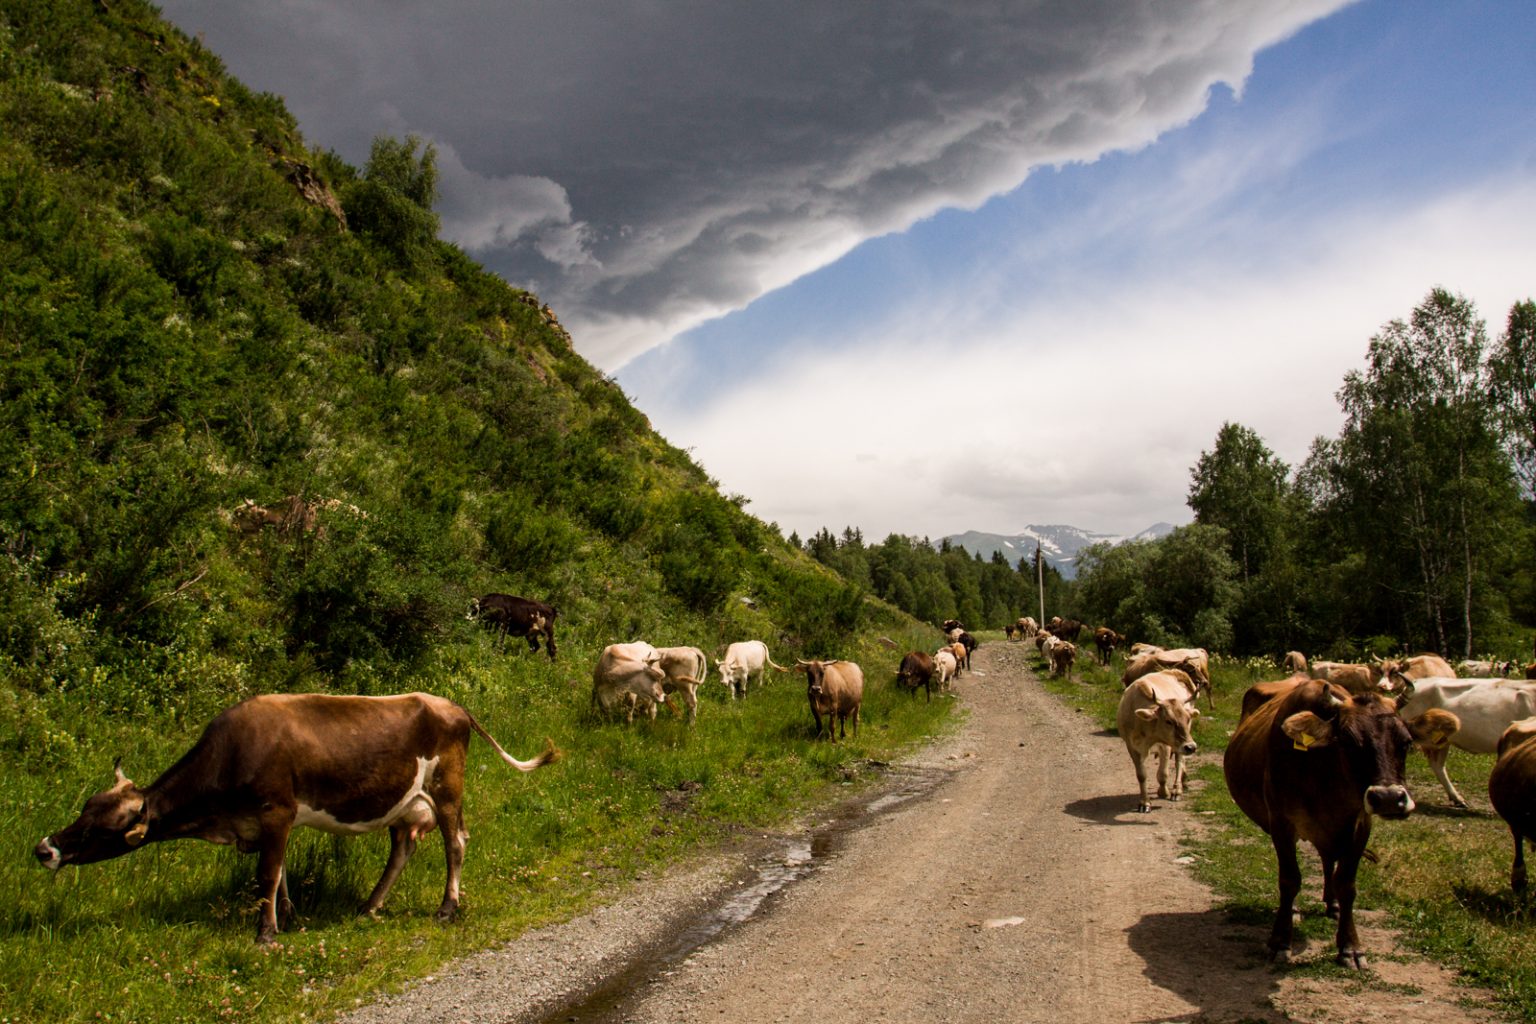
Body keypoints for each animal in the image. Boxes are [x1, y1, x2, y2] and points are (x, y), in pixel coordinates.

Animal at [33, 696, 559, 945]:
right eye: (84, 807)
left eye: (101, 828)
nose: (45, 848)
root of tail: (450, 705)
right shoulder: (268, 821)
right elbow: (280, 871)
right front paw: (286, 915)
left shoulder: (276, 810)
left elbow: (266, 873)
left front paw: (266, 933)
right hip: (403, 802)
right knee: (403, 848)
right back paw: (370, 905)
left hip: (446, 791)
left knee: (456, 842)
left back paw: (447, 907)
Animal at [1118, 672, 1198, 816]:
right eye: (1168, 721)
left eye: (1188, 719)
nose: (1191, 747)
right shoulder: (1131, 747)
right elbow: (1141, 775)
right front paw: (1144, 803)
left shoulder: (1165, 746)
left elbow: (1163, 774)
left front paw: (1163, 792)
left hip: (1179, 745)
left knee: (1179, 762)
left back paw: (1177, 790)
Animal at [1216, 681, 1456, 970]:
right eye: (1348, 741)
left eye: (1406, 742)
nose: (1388, 798)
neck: (1324, 773)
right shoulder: (1281, 822)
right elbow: (1289, 879)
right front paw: (1280, 941)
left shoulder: (1360, 824)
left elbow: (1346, 884)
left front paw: (1350, 947)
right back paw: (1294, 910)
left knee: (1327, 859)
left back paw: (1332, 904)